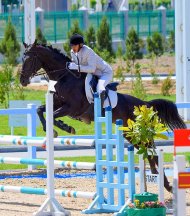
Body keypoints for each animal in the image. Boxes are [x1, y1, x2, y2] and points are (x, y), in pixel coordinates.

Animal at [20, 40, 186, 192]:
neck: (64, 77)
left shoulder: (72, 108)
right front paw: (51, 130)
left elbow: (53, 116)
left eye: (29, 59)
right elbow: (40, 110)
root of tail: (144, 104)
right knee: (148, 153)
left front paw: (65, 128)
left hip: (138, 133)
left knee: (153, 152)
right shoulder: (57, 103)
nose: (22, 81)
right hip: (130, 134)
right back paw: (160, 182)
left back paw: (167, 186)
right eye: (22, 58)